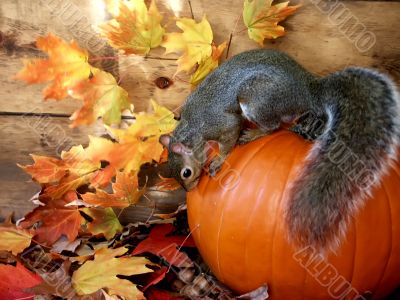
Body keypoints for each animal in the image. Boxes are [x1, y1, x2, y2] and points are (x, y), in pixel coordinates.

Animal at [159, 49, 400, 253]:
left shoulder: (221, 125)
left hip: (257, 99)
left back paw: (253, 133)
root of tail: (307, 90)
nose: (189, 189)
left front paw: (218, 160)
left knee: (273, 126)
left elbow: (228, 140)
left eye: (186, 173)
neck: (191, 128)